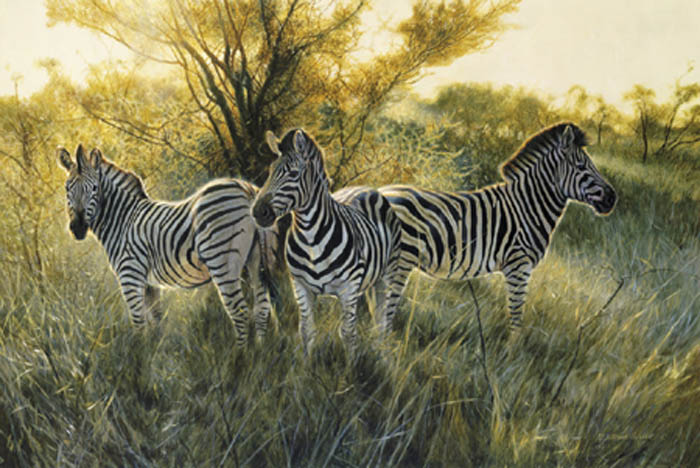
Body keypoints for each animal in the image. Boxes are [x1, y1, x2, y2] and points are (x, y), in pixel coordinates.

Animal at [58, 144, 275, 345]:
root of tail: (246, 189)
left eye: (94, 188)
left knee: (240, 312)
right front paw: (153, 353)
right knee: (262, 308)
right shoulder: (149, 283)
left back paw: (240, 356)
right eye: (67, 188)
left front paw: (137, 356)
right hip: (257, 259)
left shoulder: (130, 275)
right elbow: (155, 320)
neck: (123, 218)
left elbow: (138, 323)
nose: (77, 228)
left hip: (222, 262)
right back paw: (258, 353)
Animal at [251, 129, 405, 357]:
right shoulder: (300, 286)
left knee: (381, 320)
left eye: (293, 174)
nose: (257, 212)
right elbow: (306, 331)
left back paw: (382, 353)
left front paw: (351, 365)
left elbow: (348, 334)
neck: (311, 238)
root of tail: (366, 188)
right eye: (270, 171)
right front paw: (306, 365)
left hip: (387, 274)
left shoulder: (348, 288)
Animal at [363, 122, 617, 331]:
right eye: (582, 166)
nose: (612, 198)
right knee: (383, 311)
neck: (528, 206)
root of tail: (379, 192)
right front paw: (512, 355)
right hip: (401, 260)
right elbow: (516, 318)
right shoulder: (519, 266)